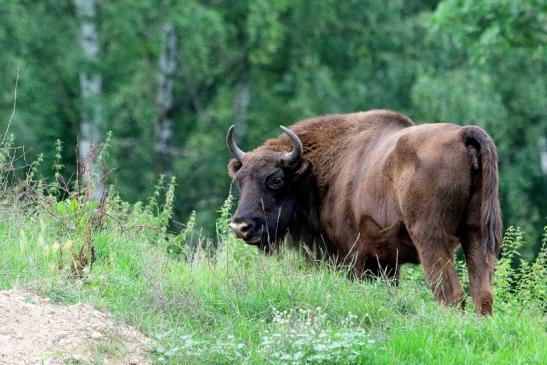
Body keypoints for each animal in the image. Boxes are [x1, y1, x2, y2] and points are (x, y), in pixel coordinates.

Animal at [226, 109, 500, 314]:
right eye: (240, 179)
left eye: (276, 180)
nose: (240, 226)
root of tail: (462, 134)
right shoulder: (385, 262)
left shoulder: (353, 255)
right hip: (475, 234)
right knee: (483, 294)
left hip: (431, 238)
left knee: (451, 295)